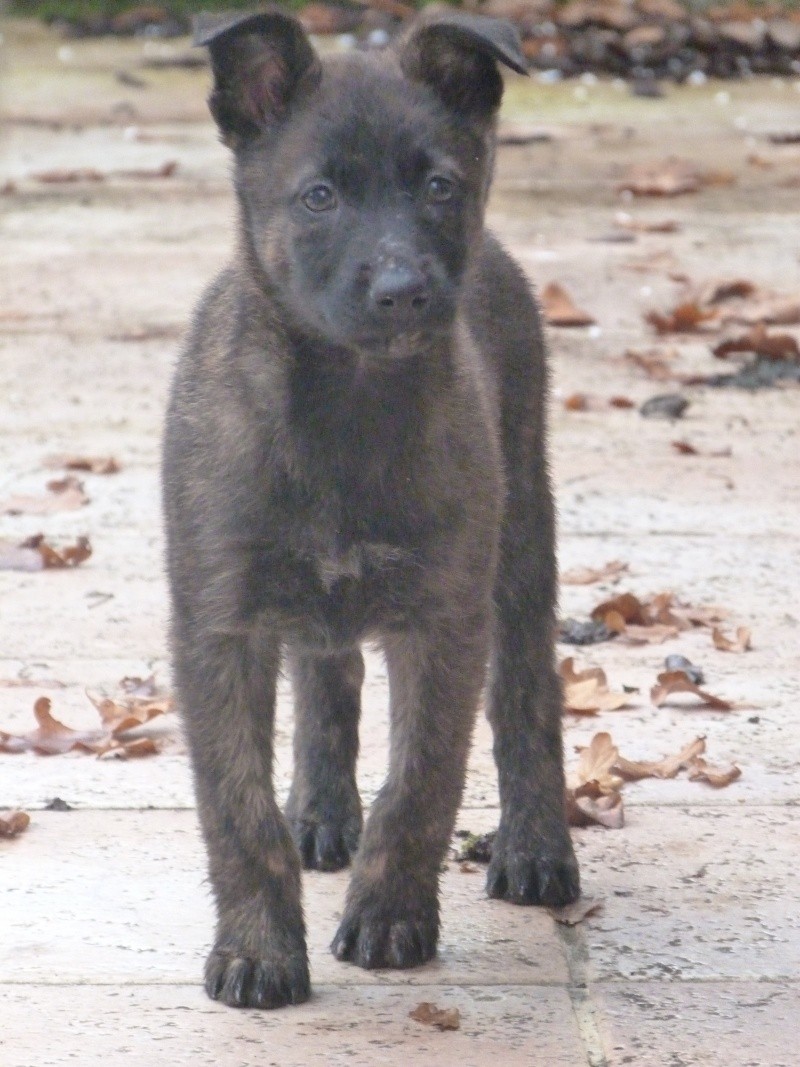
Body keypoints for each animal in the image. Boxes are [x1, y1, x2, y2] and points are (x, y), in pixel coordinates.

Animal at [163, 8, 580, 1007]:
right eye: (319, 196)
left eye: (438, 186)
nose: (403, 292)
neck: (345, 408)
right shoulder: (220, 624)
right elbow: (237, 807)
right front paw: (259, 949)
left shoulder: (445, 618)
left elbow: (421, 782)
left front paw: (390, 916)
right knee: (329, 677)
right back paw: (318, 811)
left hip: (520, 542)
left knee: (528, 697)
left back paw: (536, 848)